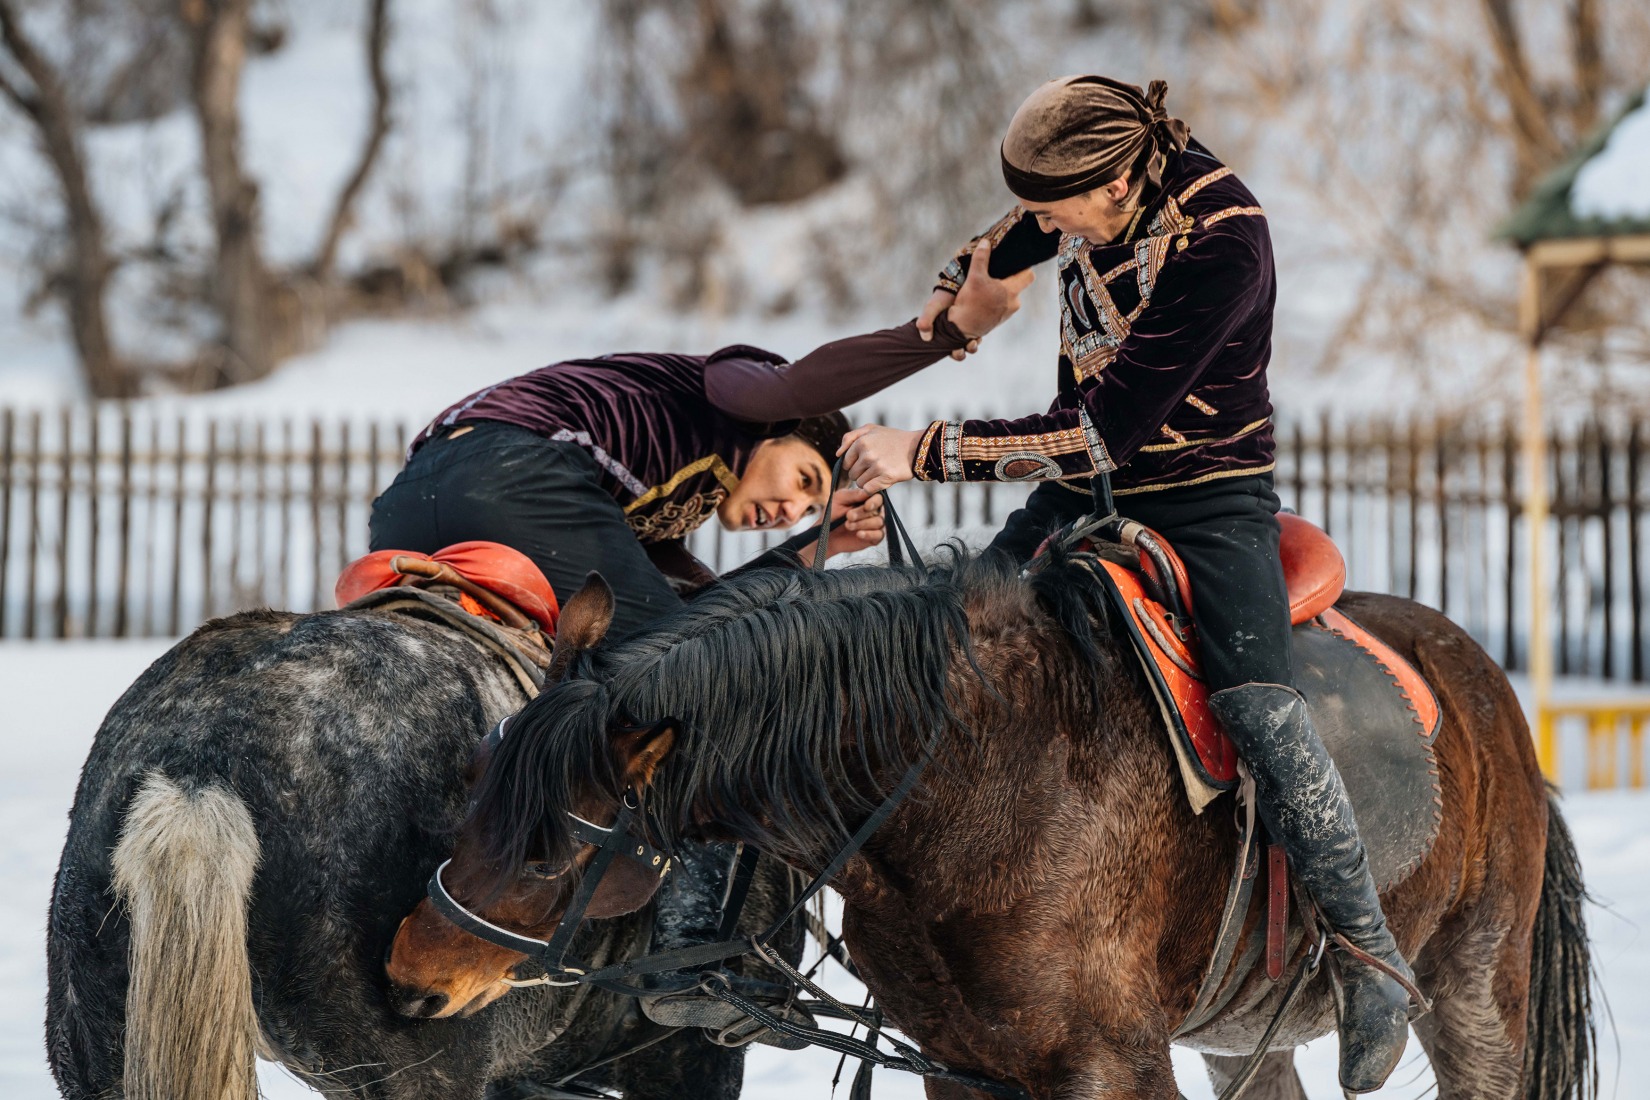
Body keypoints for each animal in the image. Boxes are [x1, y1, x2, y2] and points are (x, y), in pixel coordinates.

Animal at [389, 554, 1597, 1100]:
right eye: (476, 788)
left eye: (551, 844)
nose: (409, 973)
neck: (974, 799)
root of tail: (1481, 678)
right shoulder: (962, 1065)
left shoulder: (1112, 1067)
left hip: (1475, 994)